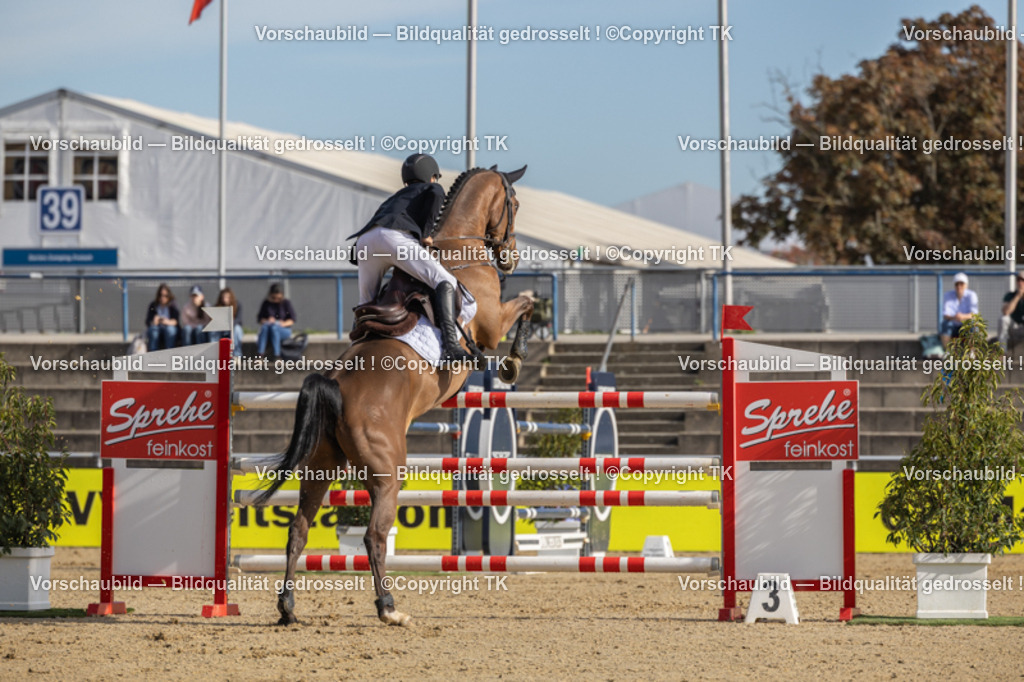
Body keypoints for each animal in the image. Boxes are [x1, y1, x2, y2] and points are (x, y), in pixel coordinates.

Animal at [258, 166, 534, 626]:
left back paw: (288, 608)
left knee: (298, 527)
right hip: (388, 473)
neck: (458, 249)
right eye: (513, 203)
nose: (510, 257)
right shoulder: (492, 325)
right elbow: (528, 303)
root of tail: (334, 384)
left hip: (321, 464)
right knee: (374, 536)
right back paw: (388, 608)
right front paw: (514, 360)